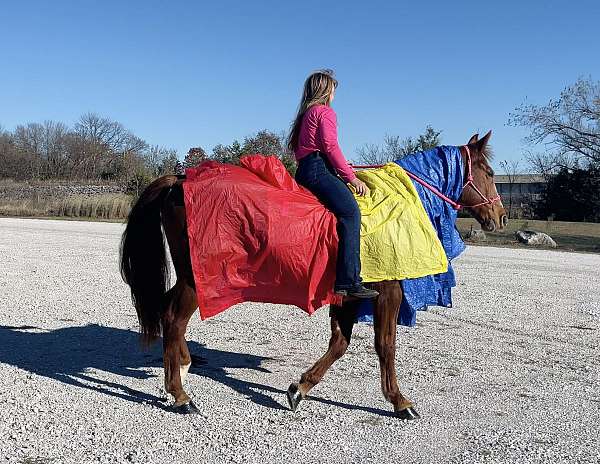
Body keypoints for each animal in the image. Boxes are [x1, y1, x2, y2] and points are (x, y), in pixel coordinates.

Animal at [120, 130, 506, 416]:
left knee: (168, 312)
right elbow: (385, 344)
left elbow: (340, 343)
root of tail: (179, 180)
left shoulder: (349, 294)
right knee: (173, 317)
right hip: (197, 278)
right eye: (488, 173)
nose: (500, 217)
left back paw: (183, 365)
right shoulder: (388, 290)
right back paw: (180, 395)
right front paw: (399, 401)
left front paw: (300, 388)